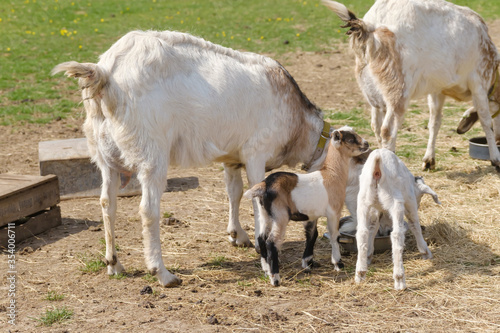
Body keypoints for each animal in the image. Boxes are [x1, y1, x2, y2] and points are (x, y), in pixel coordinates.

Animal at [51, 29, 332, 286]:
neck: (296, 122)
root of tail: (104, 72)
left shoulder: (231, 158)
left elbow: (234, 192)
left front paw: (237, 235)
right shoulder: (255, 153)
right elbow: (255, 198)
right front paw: (263, 257)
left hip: (103, 154)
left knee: (107, 203)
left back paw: (114, 264)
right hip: (151, 153)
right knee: (148, 209)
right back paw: (162, 273)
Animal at [322, 0, 500, 171]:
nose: (499, 141)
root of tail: (369, 25)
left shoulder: (437, 90)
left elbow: (434, 122)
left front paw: (429, 160)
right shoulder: (479, 82)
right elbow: (485, 120)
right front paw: (495, 159)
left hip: (374, 92)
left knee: (376, 126)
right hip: (398, 89)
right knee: (387, 130)